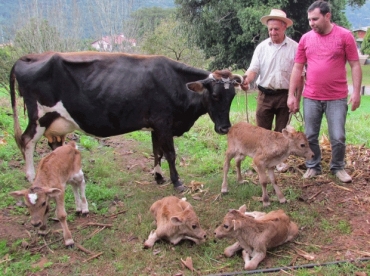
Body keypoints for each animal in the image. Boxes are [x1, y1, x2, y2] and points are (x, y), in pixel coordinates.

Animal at [9, 51, 243, 192]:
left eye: (232, 96)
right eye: (215, 96)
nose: (225, 128)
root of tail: (29, 57)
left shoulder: (155, 125)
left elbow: (156, 152)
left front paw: (158, 177)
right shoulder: (164, 122)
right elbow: (170, 154)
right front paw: (176, 181)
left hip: (56, 123)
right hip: (39, 116)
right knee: (26, 141)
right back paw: (31, 177)